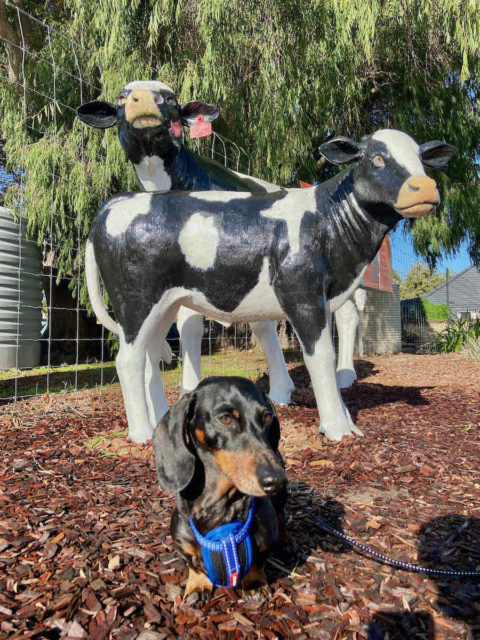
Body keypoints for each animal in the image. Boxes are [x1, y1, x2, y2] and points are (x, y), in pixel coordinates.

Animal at [153, 376, 284, 596]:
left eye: (267, 417)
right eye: (225, 418)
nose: (276, 479)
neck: (217, 503)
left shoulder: (266, 537)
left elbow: (257, 563)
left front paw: (255, 583)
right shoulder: (182, 539)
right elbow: (193, 565)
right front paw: (198, 584)